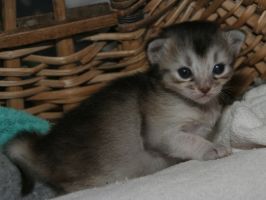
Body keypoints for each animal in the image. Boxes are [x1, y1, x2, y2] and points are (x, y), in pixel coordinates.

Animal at [4, 20, 245, 195]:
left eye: (218, 68)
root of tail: (42, 147)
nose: (205, 89)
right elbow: (190, 139)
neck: (191, 104)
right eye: (184, 72)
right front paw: (213, 148)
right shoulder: (159, 134)